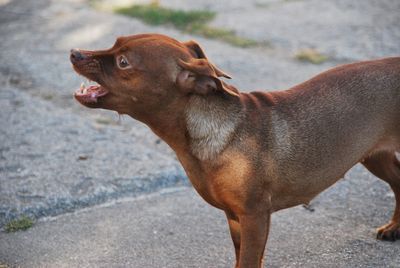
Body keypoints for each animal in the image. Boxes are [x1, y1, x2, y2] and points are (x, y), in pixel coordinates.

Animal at [70, 34, 400, 268]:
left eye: (123, 62)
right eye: (115, 43)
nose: (74, 53)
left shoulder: (255, 218)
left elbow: (249, 261)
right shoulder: (235, 219)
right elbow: (243, 258)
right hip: (376, 157)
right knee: (398, 183)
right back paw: (395, 227)